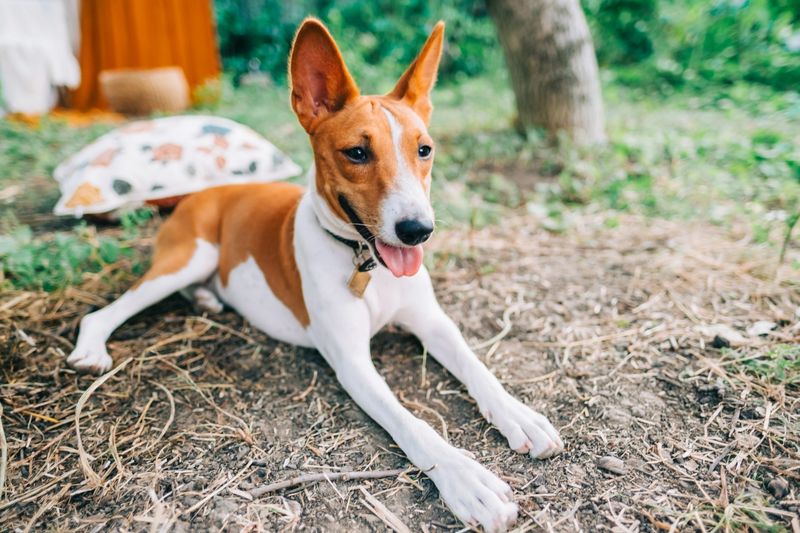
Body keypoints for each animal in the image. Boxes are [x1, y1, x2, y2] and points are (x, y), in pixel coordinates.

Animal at [67, 18, 564, 528]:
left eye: (424, 150)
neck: (366, 262)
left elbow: (477, 367)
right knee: (106, 311)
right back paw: (93, 348)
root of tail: (204, 191)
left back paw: (207, 298)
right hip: (188, 257)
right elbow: (414, 425)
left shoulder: (433, 322)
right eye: (357, 153)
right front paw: (467, 480)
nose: (417, 230)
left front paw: (518, 414)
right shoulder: (352, 363)